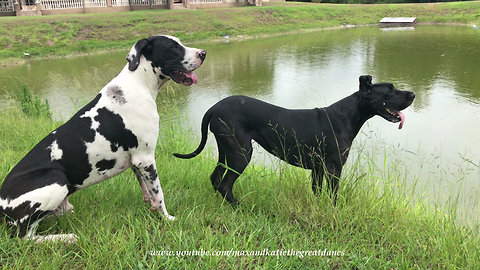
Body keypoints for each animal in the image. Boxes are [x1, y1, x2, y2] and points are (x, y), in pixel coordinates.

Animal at [0, 34, 206, 243]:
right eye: (173, 48)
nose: (203, 53)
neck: (138, 85)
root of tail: (2, 204)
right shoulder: (146, 158)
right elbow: (159, 193)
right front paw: (167, 218)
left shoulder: (137, 162)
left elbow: (147, 190)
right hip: (56, 179)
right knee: (25, 237)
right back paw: (66, 237)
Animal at [174, 75, 414, 206]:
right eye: (390, 91)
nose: (412, 94)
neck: (348, 115)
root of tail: (214, 107)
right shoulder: (334, 168)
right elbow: (333, 194)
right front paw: (334, 211)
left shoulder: (318, 169)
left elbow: (318, 192)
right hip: (241, 154)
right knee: (225, 185)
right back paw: (240, 206)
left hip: (226, 150)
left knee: (215, 178)